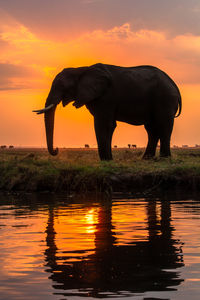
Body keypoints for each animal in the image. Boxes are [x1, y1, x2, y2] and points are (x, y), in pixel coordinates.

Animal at [32, 63, 181, 161]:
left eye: (62, 86)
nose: (57, 150)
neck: (82, 69)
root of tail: (174, 85)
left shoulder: (106, 97)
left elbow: (104, 124)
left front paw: (106, 160)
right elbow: (109, 125)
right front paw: (109, 160)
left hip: (165, 99)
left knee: (163, 125)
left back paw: (165, 159)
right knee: (151, 129)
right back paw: (146, 159)